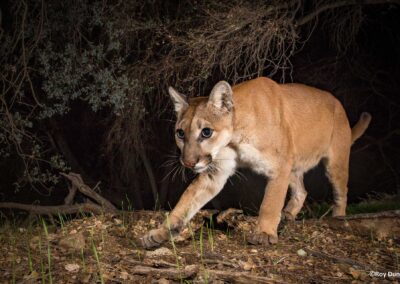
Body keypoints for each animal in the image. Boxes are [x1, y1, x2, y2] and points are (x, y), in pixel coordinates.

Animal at [141, 77, 372, 248]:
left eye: (206, 132)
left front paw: (264, 233)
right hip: (293, 165)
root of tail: (338, 104)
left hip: (335, 163)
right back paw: (288, 214)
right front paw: (160, 232)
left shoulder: (279, 166)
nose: (188, 163)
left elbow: (270, 202)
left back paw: (338, 218)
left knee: (341, 192)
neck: (236, 136)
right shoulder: (216, 172)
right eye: (180, 133)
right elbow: (185, 202)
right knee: (302, 190)